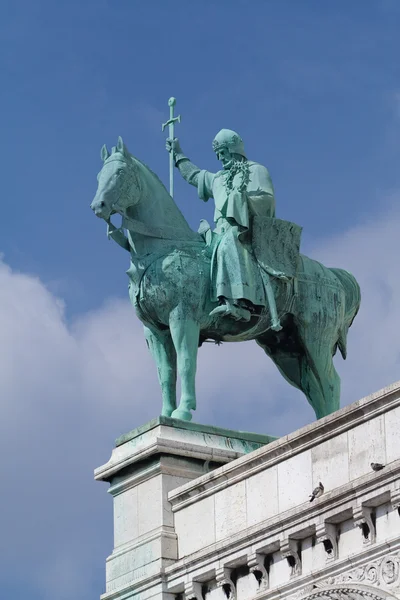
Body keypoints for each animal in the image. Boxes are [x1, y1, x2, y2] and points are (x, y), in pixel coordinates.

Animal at [92, 137, 360, 422]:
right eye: (99, 175)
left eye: (120, 172)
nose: (98, 206)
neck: (165, 249)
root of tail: (332, 274)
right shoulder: (154, 331)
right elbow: (165, 374)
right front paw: (165, 415)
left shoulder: (182, 319)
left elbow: (186, 364)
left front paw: (183, 412)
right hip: (286, 349)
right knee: (313, 387)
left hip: (315, 336)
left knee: (330, 382)